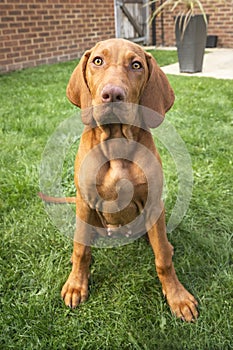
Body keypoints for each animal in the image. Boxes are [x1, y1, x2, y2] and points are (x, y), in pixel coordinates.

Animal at [52, 39, 197, 322]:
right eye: (98, 61)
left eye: (136, 65)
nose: (112, 94)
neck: (116, 141)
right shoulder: (84, 201)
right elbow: (81, 250)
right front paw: (76, 285)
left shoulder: (153, 203)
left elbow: (162, 259)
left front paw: (177, 297)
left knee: (160, 243)